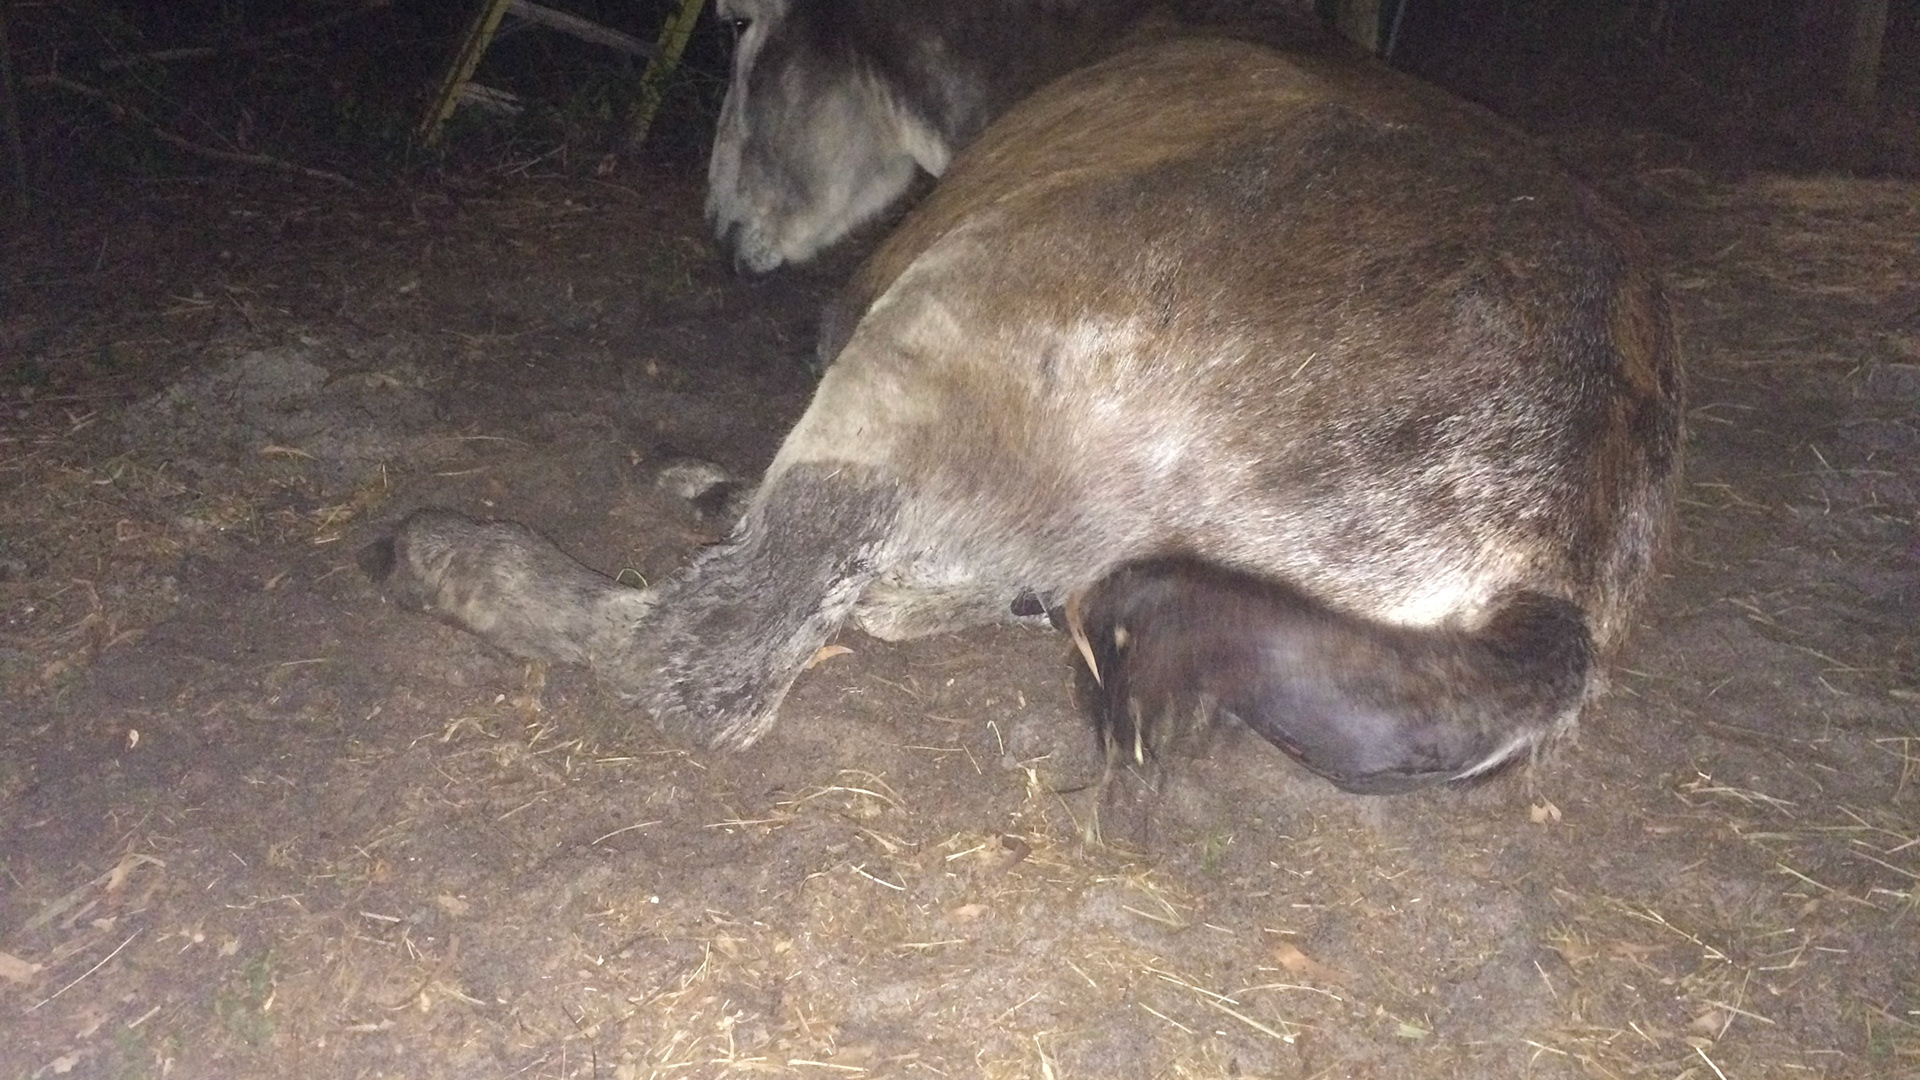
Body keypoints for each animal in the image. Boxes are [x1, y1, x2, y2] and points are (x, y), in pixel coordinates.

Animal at [366, 33, 1682, 794]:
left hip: (930, 356)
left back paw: (443, 556)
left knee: (709, 661)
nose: (719, 225)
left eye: (744, 41)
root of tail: (1556, 542)